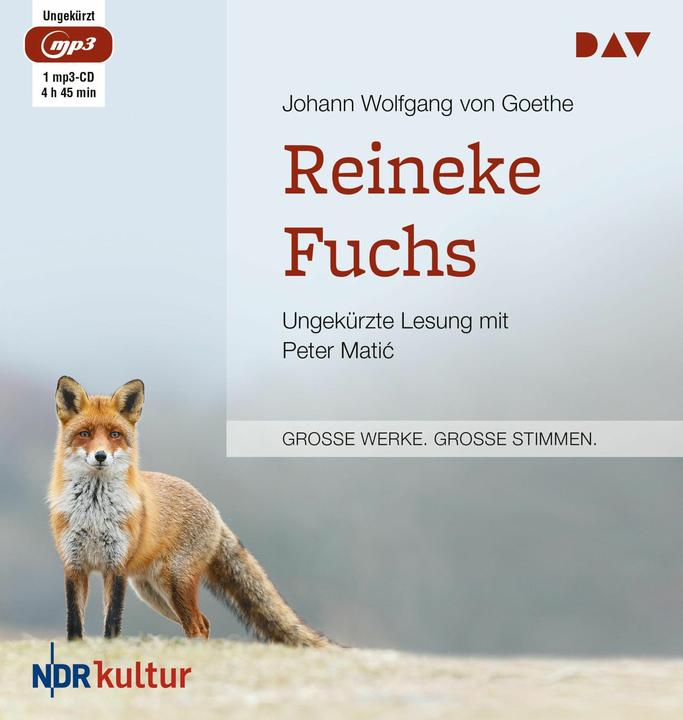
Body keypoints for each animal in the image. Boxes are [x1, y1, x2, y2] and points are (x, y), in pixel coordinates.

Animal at [48, 376, 331, 647]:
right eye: (84, 433)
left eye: (115, 434)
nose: (100, 456)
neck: (94, 513)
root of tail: (211, 506)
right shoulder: (73, 565)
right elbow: (74, 624)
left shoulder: (115, 567)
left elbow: (112, 624)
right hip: (154, 592)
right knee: (202, 622)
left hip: (174, 584)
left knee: (198, 626)